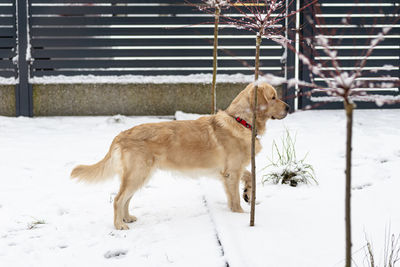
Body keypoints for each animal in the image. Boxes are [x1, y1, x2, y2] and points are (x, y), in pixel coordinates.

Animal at [71, 82, 288, 230]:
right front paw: (240, 215)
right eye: (273, 97)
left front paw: (248, 192)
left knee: (126, 199)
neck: (241, 120)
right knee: (118, 199)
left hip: (139, 176)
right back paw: (119, 225)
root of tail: (121, 134)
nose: (288, 108)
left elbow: (250, 175)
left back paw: (127, 218)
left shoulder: (229, 170)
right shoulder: (231, 173)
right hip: (137, 174)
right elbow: (234, 200)